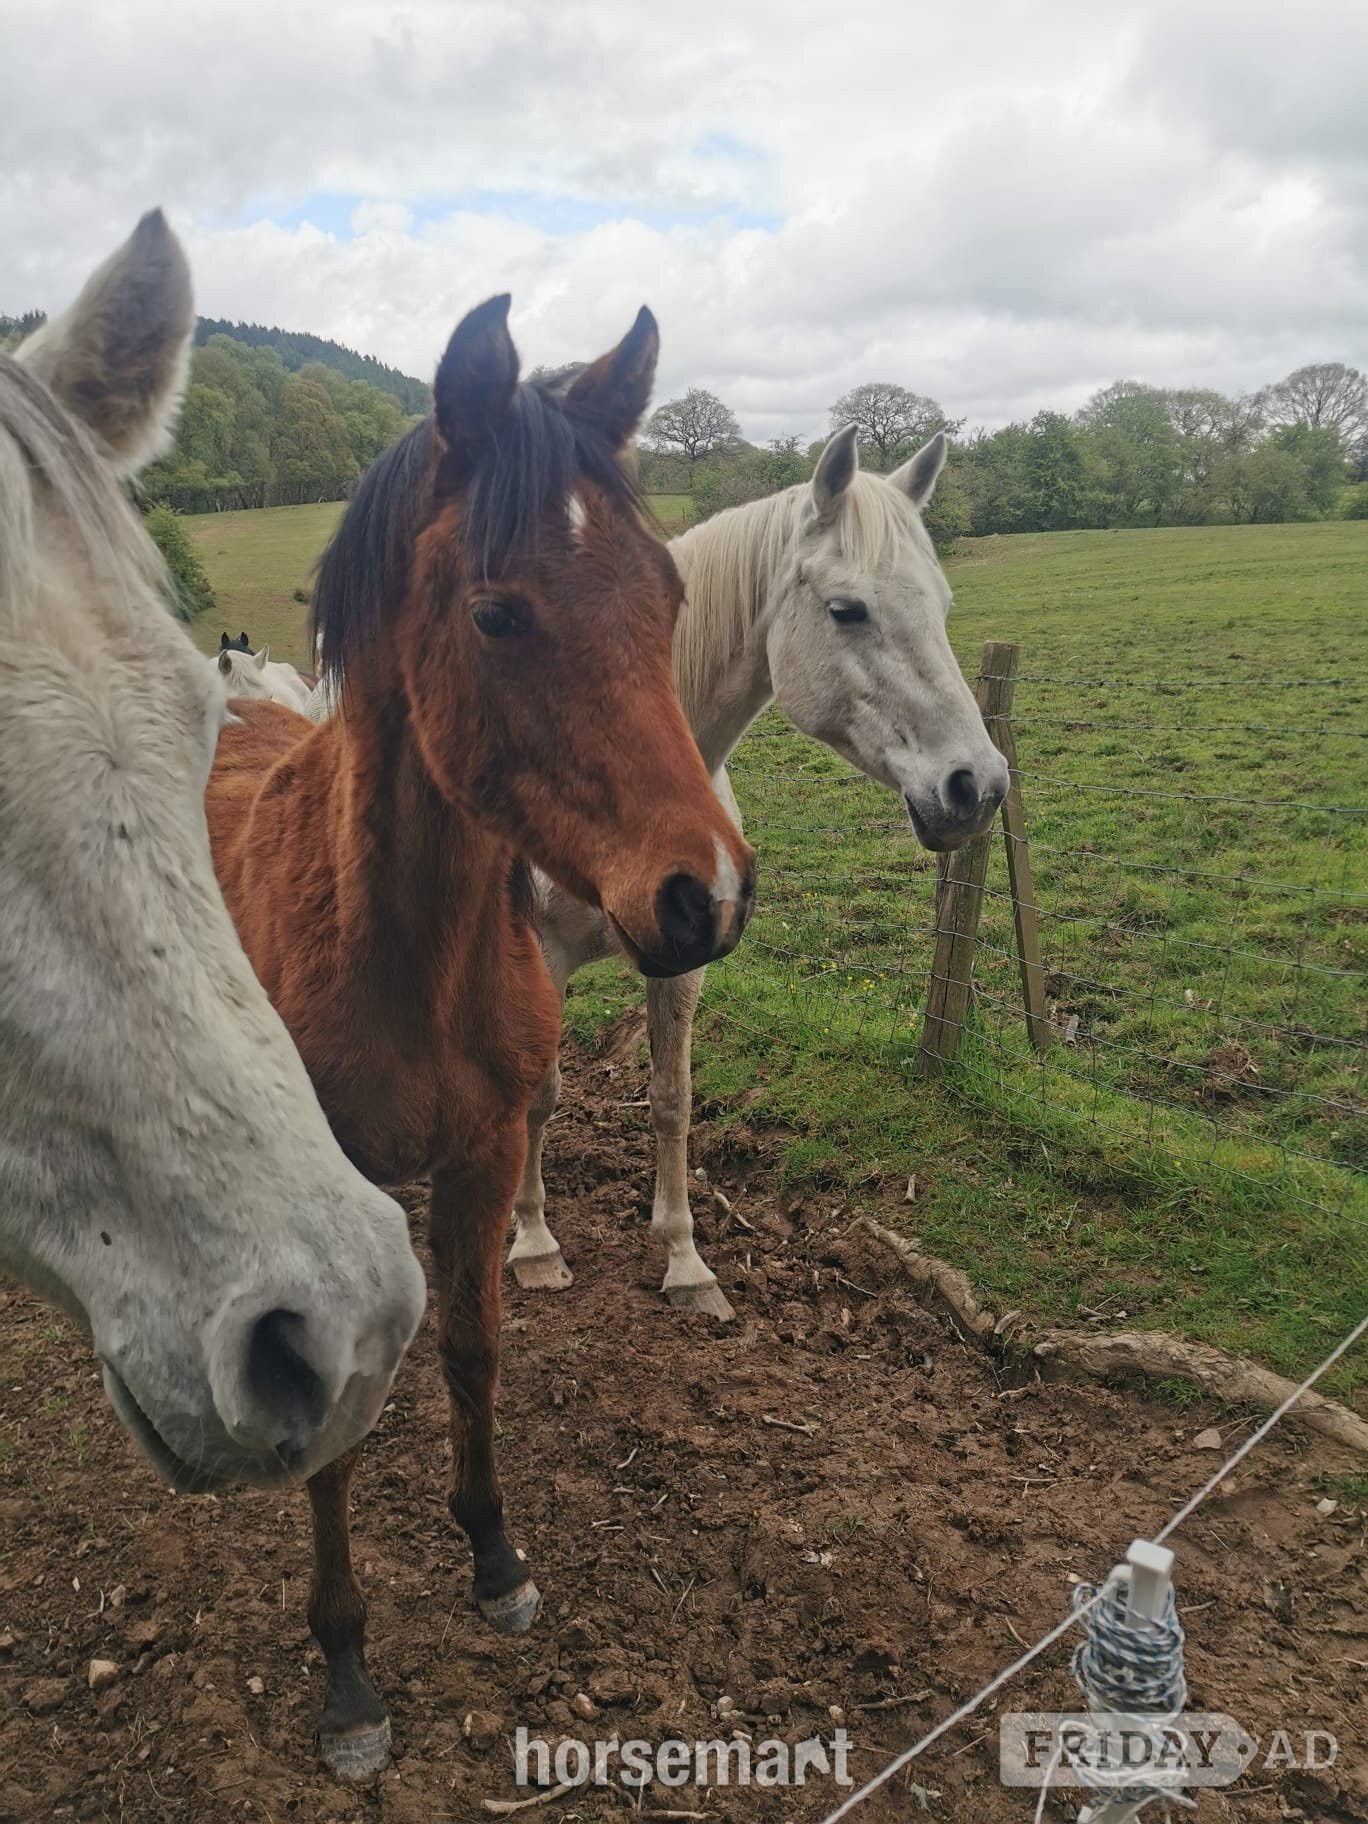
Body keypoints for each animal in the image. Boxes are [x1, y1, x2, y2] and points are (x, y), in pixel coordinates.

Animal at [204, 292, 757, 1777]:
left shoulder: (487, 1151)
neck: (397, 955)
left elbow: (473, 1345)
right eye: (497, 612)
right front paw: (347, 1677)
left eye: (669, 596)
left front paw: (497, 1558)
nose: (706, 894)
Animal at [509, 425, 1011, 1316]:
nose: (976, 787)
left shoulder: (684, 959)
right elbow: (542, 1093)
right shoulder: (546, 955)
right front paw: (534, 1244)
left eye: (943, 606)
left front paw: (685, 1261)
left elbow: (671, 1102)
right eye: (847, 609)